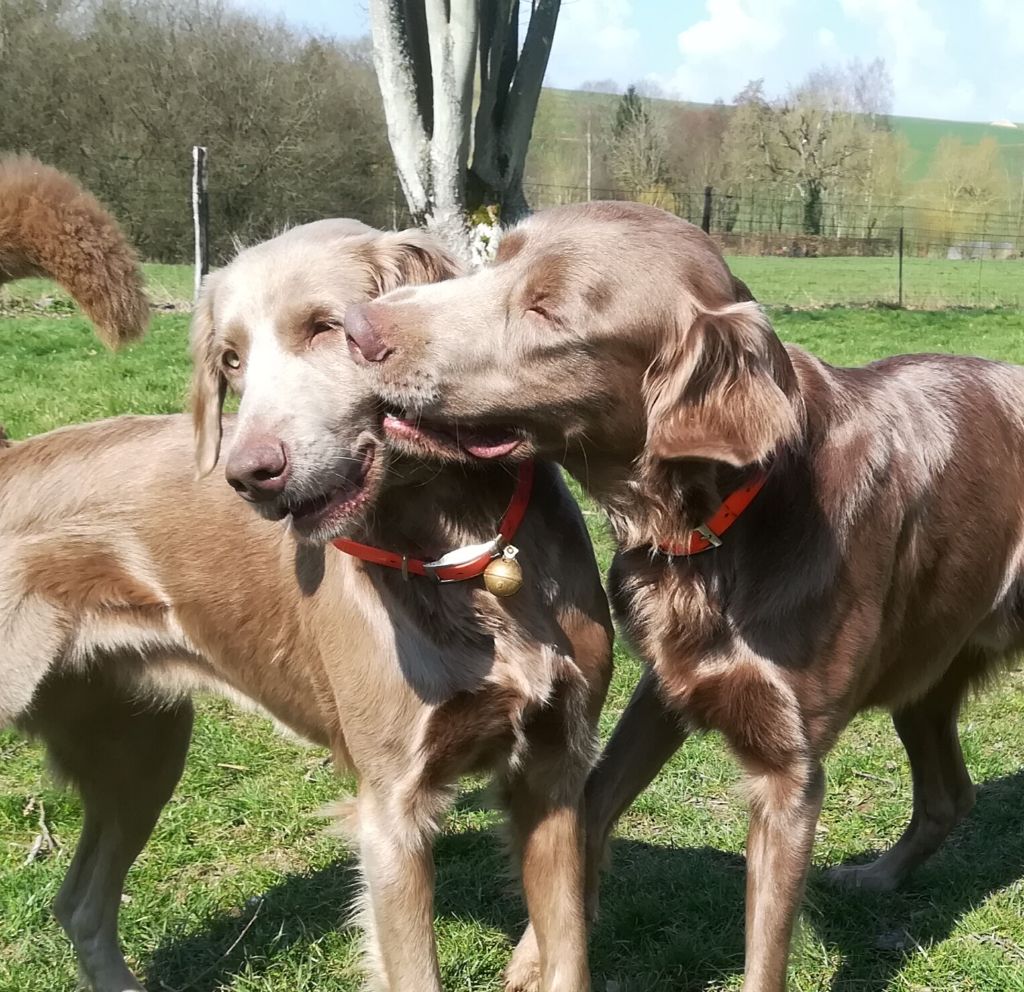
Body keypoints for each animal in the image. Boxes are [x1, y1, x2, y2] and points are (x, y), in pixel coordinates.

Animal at [0, 221, 610, 990]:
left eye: (328, 328)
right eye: (230, 360)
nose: (249, 476)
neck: (460, 547)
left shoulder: (555, 768)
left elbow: (568, 952)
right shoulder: (391, 811)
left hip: (139, 746)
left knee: (79, 904)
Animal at [344, 197, 1024, 986]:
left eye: (548, 310)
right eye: (496, 259)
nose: (357, 327)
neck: (722, 524)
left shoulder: (789, 770)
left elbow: (765, 951)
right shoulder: (670, 684)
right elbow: (589, 804)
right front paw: (538, 950)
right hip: (925, 674)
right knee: (950, 795)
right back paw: (878, 875)